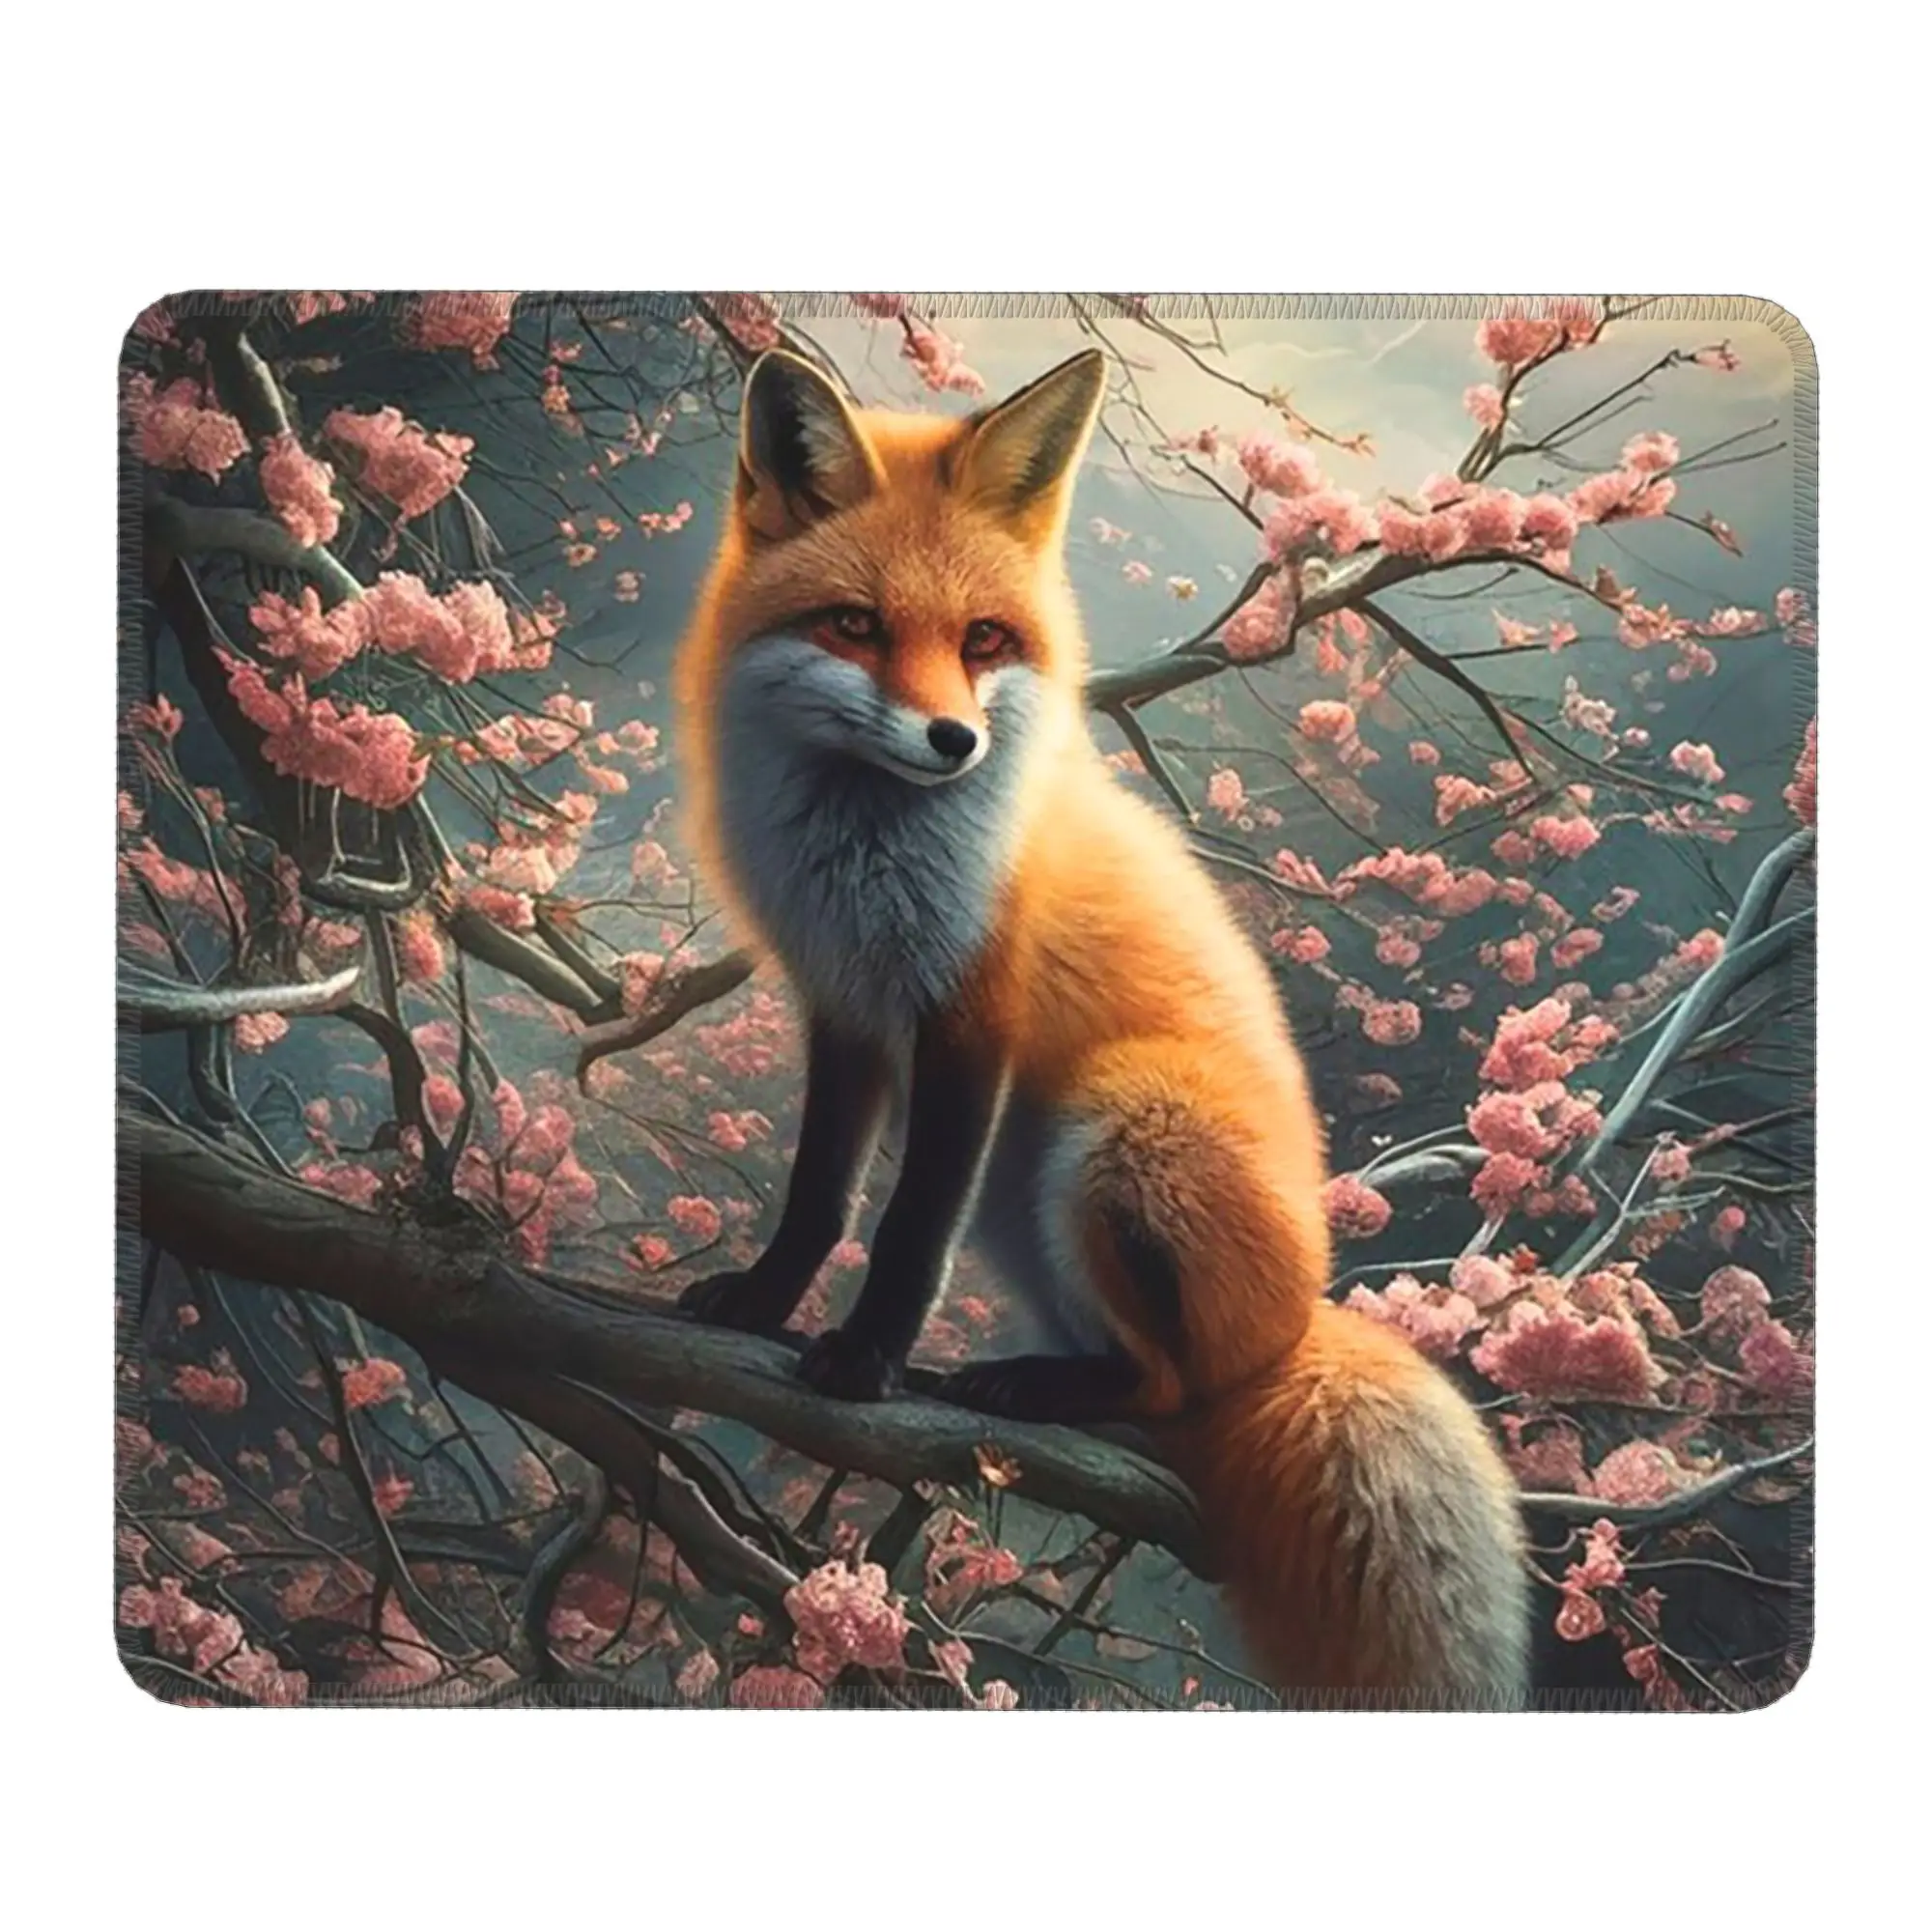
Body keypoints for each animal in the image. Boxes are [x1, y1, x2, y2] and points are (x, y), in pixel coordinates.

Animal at [671, 346, 1530, 1704]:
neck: (866, 860)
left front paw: (864, 1359)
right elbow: (818, 1196)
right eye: (854, 625)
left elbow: (906, 1227)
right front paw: (763, 1303)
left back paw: (1033, 1383)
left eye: (982, 639)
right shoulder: (844, 1009)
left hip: (1117, 1119)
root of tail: (1299, 1324)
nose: (954, 740)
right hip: (1026, 1204)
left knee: (1171, 1388)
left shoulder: (971, 1018)